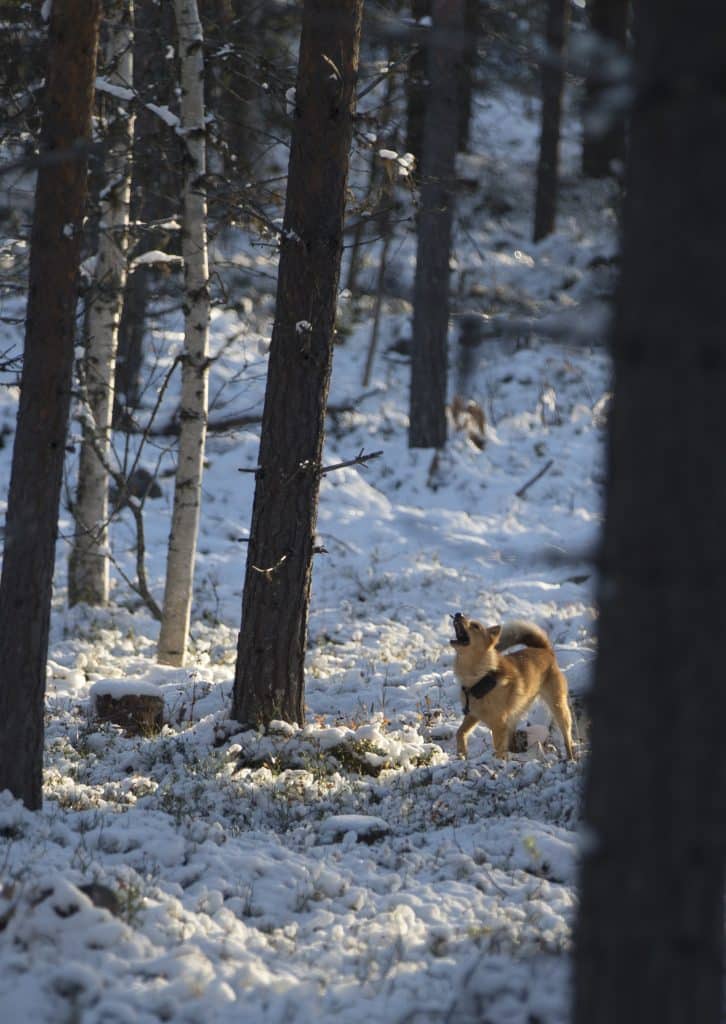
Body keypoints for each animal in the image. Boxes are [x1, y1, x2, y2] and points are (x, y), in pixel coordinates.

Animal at [452, 606, 573, 761]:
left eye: (475, 626)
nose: (458, 614)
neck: (479, 677)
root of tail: (545, 650)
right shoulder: (473, 714)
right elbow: (460, 732)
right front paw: (462, 754)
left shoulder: (499, 723)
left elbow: (499, 749)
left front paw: (498, 763)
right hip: (515, 713)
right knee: (512, 739)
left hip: (558, 707)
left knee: (567, 737)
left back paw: (571, 758)